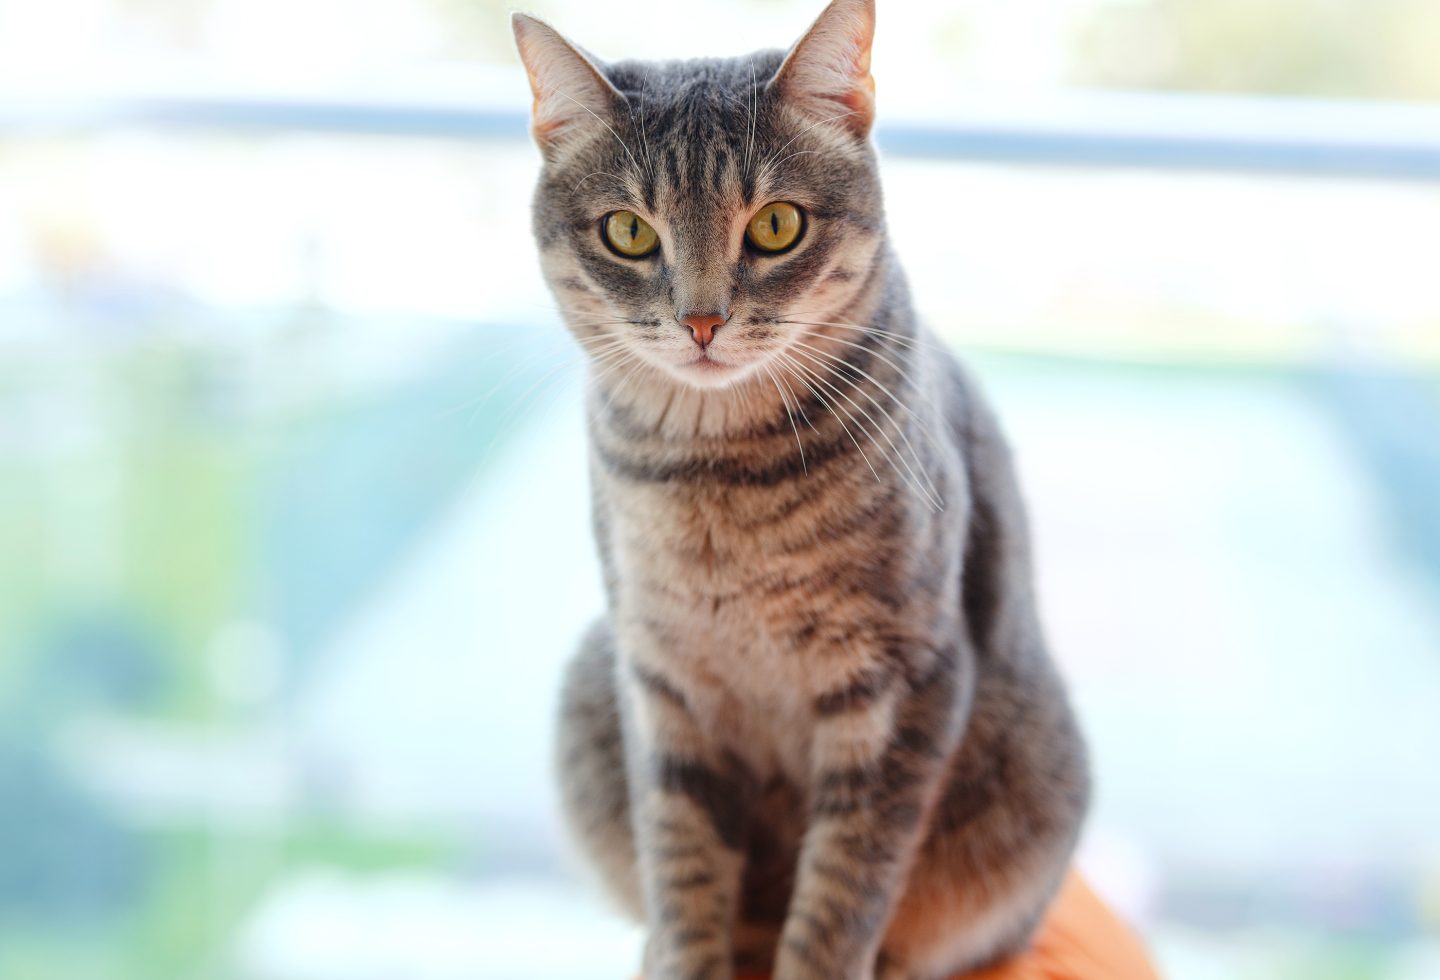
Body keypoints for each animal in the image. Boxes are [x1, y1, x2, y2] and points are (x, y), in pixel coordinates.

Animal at [512, 3, 1082, 972]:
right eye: (629, 232)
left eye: (777, 225)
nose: (702, 321)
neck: (718, 478)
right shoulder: (661, 685)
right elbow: (684, 876)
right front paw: (684, 954)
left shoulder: (902, 683)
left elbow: (839, 902)